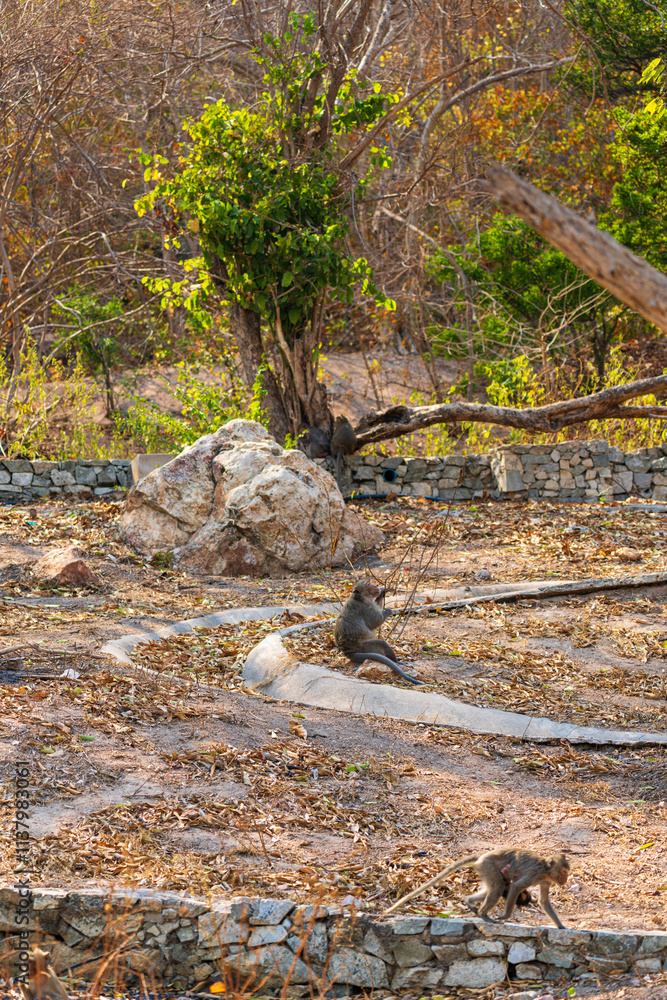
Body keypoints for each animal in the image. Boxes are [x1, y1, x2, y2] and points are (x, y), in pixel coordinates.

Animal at [383, 847, 569, 928]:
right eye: (564, 871)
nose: (565, 879)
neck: (546, 869)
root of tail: (484, 855)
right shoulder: (536, 874)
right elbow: (516, 887)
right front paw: (505, 916)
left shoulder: (546, 880)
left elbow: (544, 902)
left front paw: (561, 927)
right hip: (488, 865)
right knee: (499, 887)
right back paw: (483, 915)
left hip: (485, 869)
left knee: (493, 888)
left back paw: (470, 903)